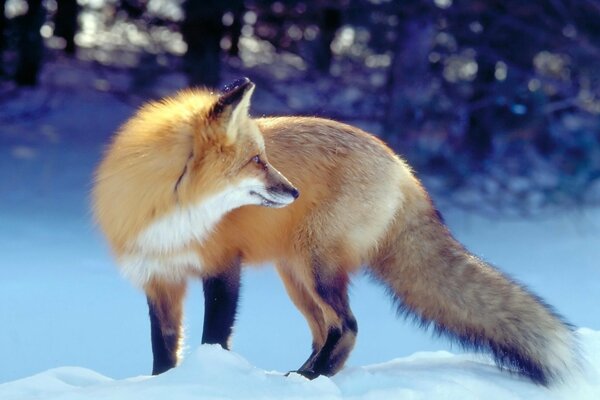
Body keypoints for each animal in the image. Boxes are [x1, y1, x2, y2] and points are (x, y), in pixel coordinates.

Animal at [91, 76, 580, 386]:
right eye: (257, 161)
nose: (293, 190)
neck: (172, 214)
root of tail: (403, 167)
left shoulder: (223, 267)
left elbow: (214, 337)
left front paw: (209, 378)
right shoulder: (159, 277)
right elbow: (163, 348)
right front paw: (162, 383)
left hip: (316, 267)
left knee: (347, 327)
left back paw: (311, 378)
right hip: (296, 275)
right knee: (324, 330)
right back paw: (304, 375)